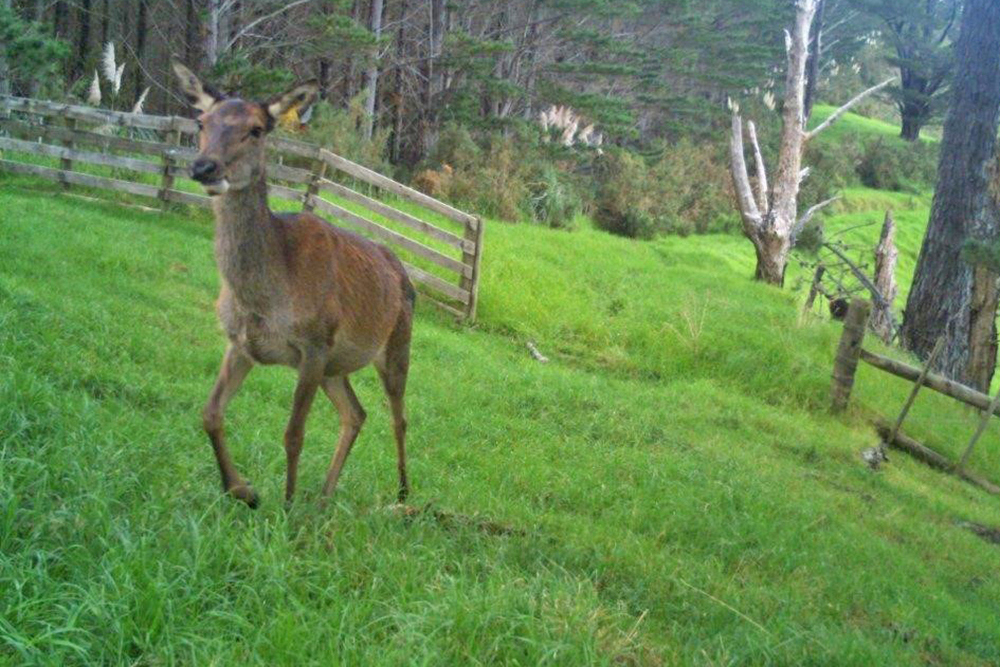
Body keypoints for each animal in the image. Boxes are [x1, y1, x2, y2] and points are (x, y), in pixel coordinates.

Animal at [174, 65, 416, 508]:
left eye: (256, 130)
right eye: (201, 122)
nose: (204, 168)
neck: (265, 296)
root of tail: (402, 272)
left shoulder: (314, 343)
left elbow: (293, 434)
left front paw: (285, 508)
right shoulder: (240, 343)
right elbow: (210, 413)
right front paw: (242, 490)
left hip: (394, 345)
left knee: (399, 416)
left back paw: (403, 493)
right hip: (336, 366)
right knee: (356, 413)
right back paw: (323, 496)